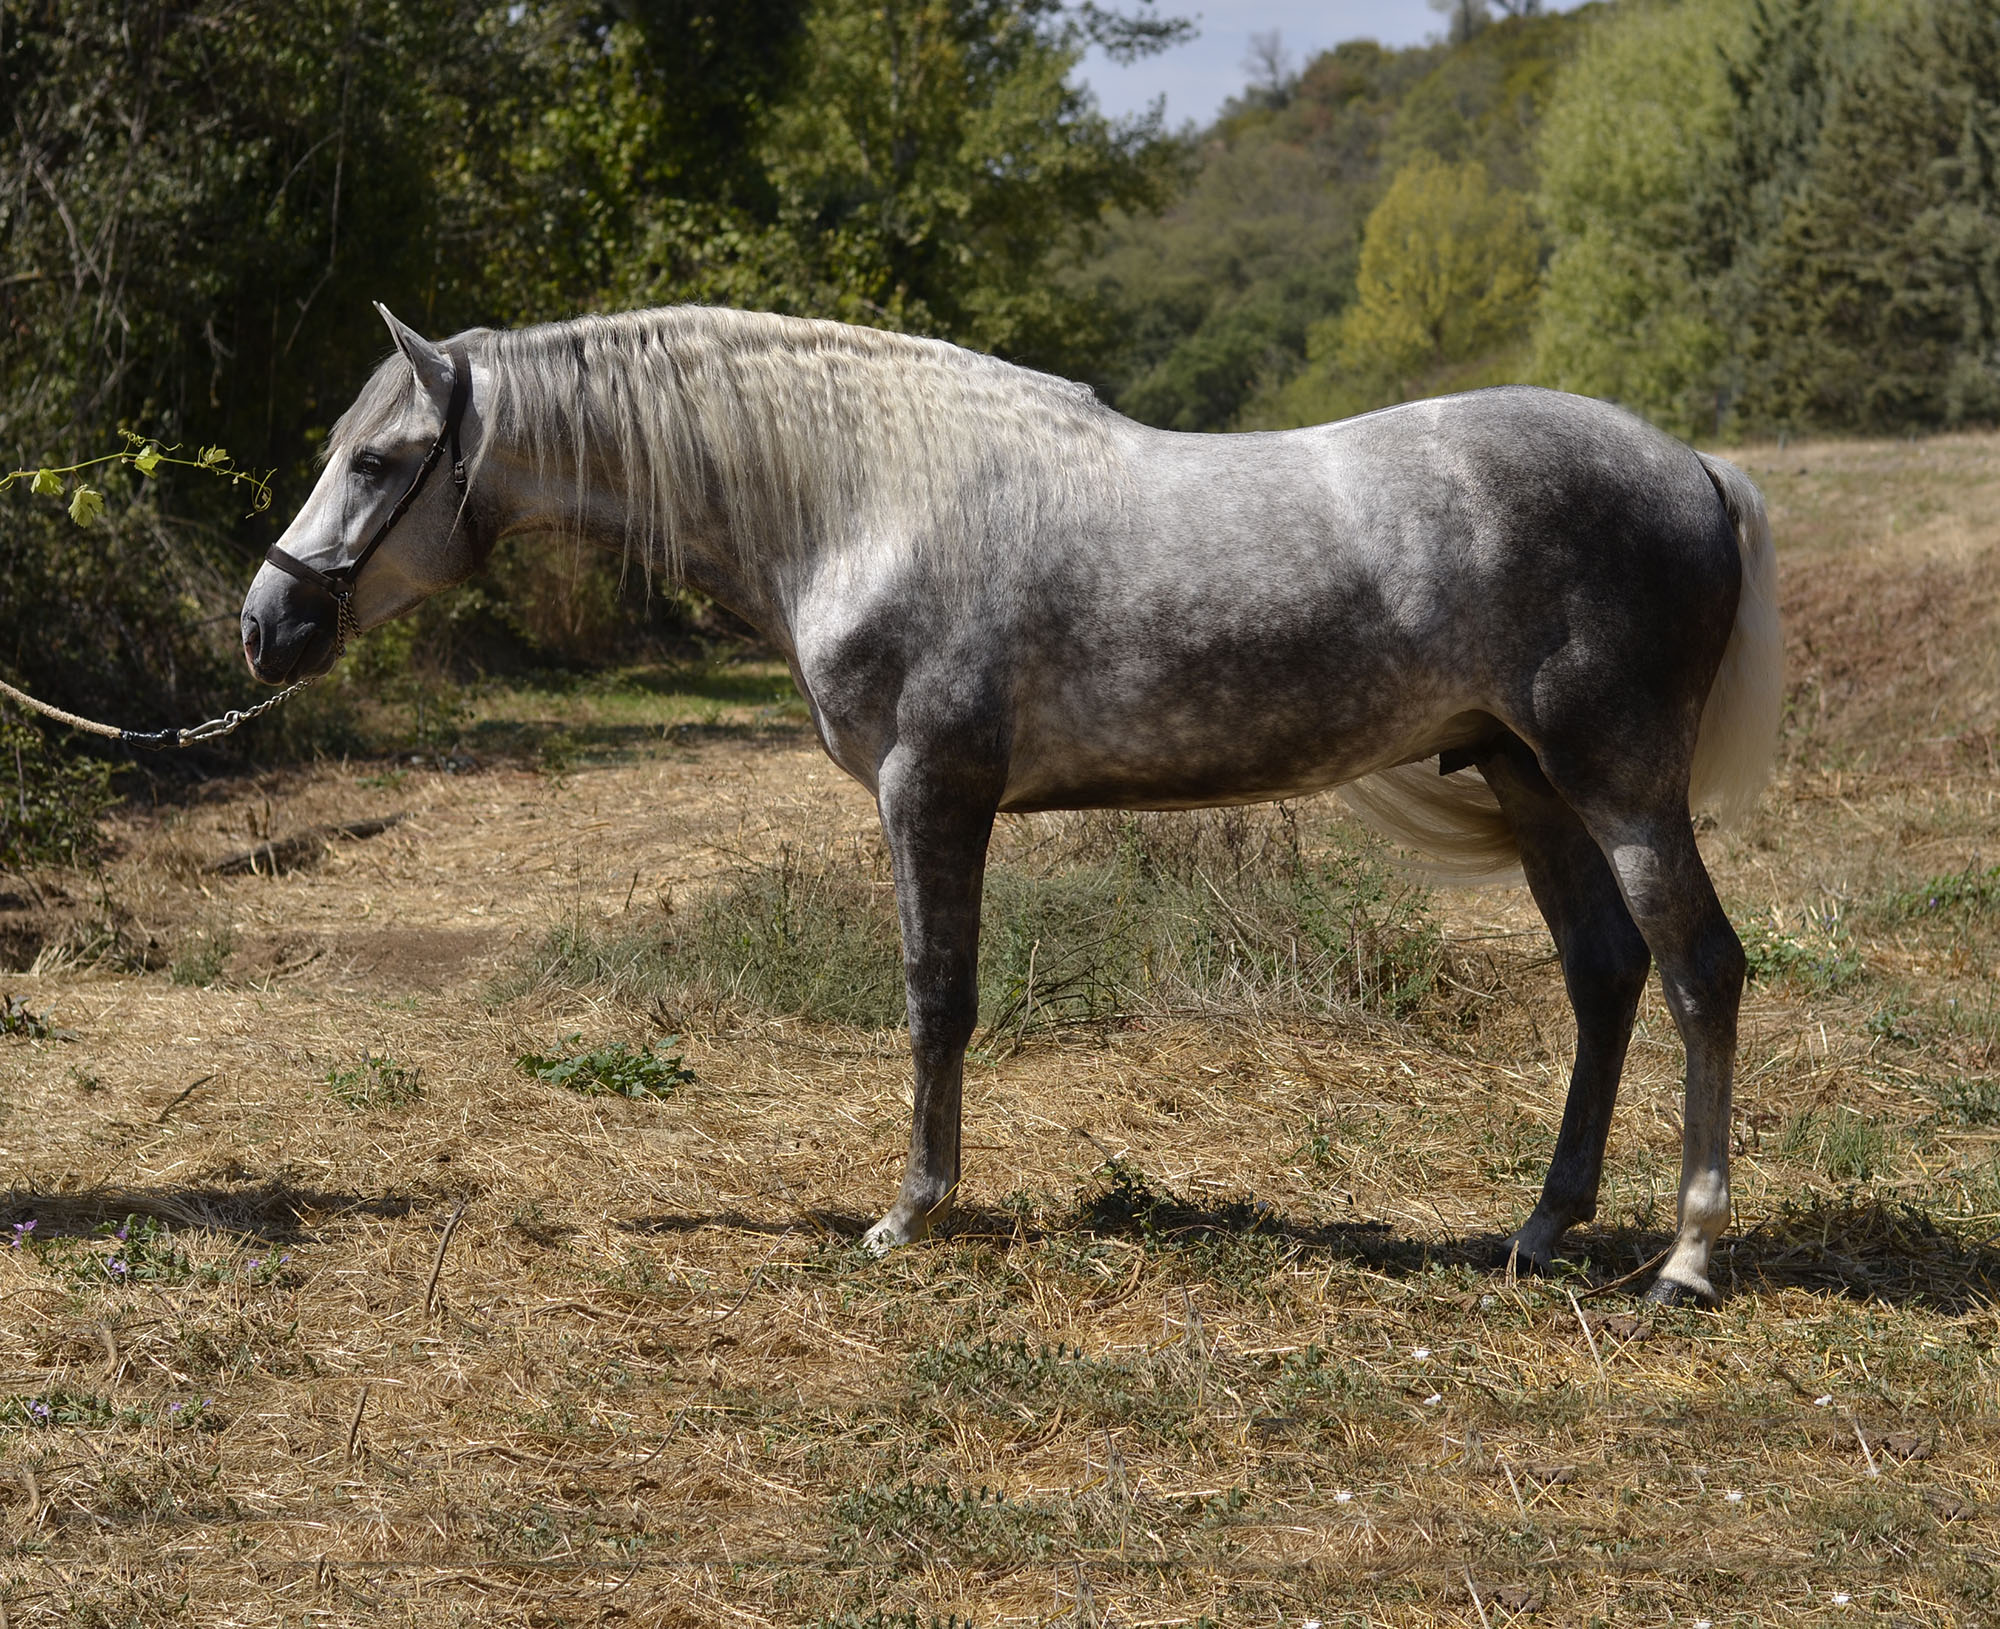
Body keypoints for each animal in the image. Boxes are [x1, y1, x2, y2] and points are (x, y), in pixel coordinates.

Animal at [238, 302, 1784, 1304]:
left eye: (375, 461)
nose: (266, 626)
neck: (866, 499)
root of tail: (1698, 468)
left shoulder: (933, 788)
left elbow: (937, 992)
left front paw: (909, 1212)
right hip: (1531, 782)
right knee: (1604, 975)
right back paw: (1539, 1233)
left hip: (1617, 785)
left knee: (1701, 971)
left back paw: (1689, 1258)